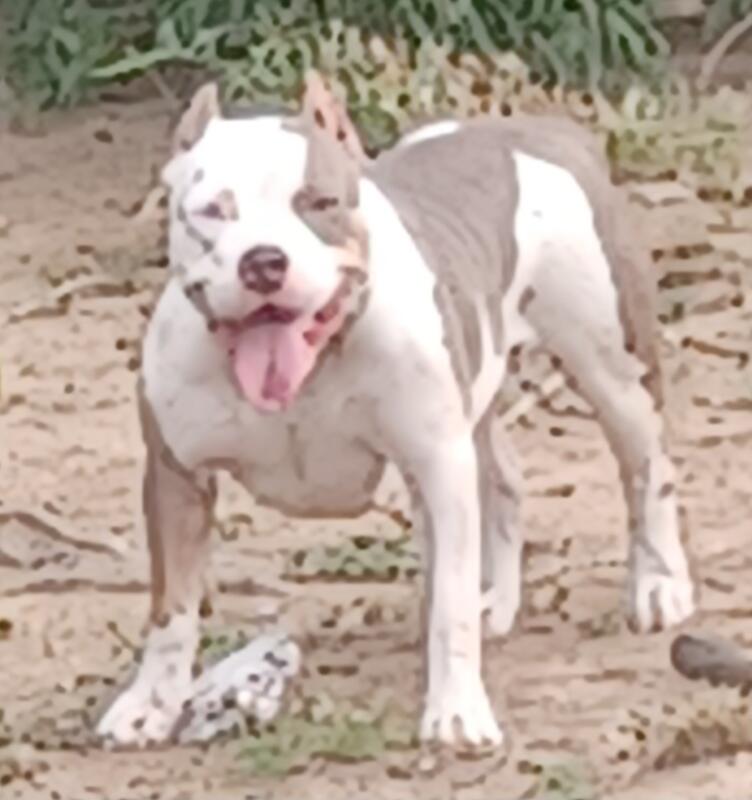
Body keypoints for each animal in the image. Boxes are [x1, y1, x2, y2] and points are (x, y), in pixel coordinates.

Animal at [96, 71, 695, 748]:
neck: (315, 364)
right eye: (212, 211)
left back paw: (659, 585)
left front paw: (457, 711)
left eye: (318, 202)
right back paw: (499, 598)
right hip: (477, 397)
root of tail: (537, 130)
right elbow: (170, 609)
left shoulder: (437, 466)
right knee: (505, 480)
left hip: (613, 370)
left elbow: (449, 607)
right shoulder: (177, 475)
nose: (264, 260)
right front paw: (149, 703)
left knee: (647, 469)